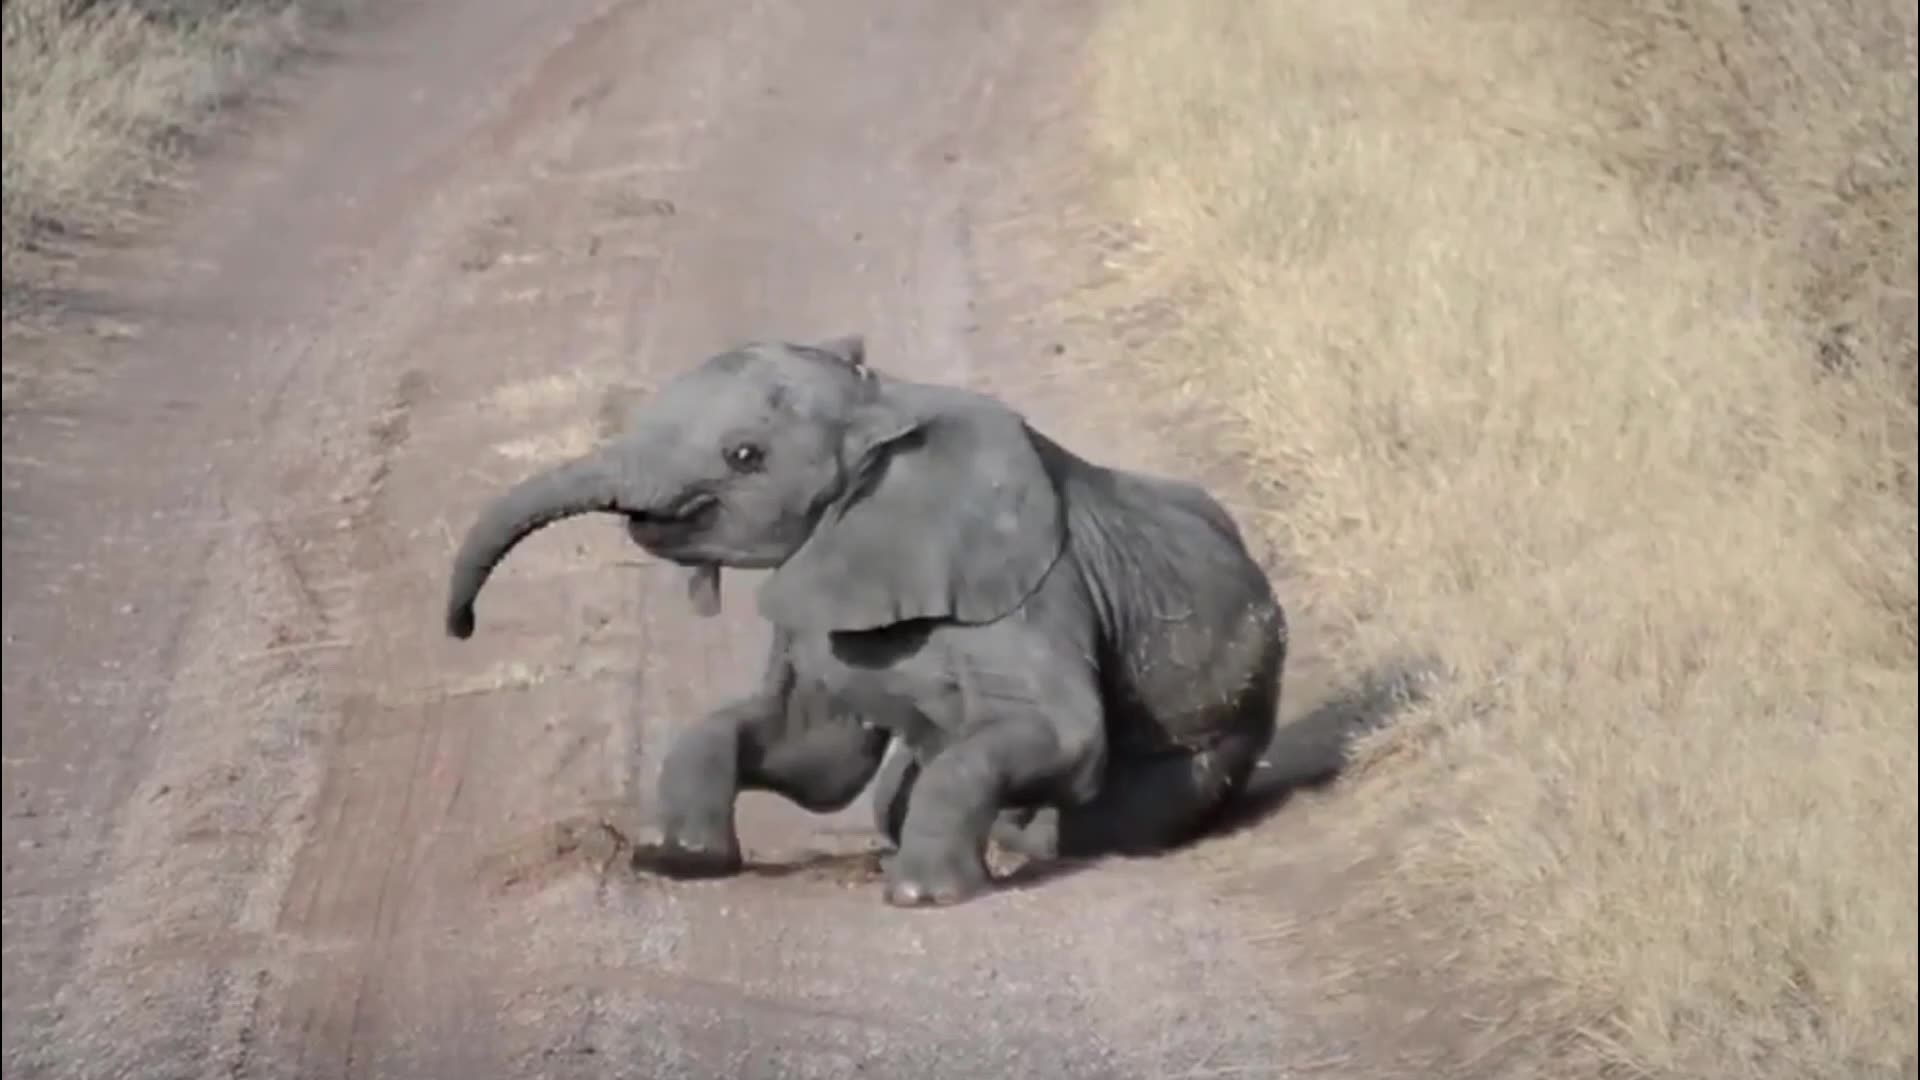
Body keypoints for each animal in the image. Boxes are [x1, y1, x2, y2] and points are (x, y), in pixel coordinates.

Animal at [444, 335, 1287, 907]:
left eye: (744, 455)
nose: (462, 628)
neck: (883, 409)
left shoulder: (1028, 592)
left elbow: (1067, 738)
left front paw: (921, 897)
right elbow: (815, 752)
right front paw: (679, 861)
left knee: (1088, 817)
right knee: (888, 793)